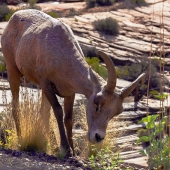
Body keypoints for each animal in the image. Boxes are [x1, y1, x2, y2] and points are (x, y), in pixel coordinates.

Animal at [0, 9, 145, 157]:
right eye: (96, 103)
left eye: (117, 112)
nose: (98, 137)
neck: (62, 54)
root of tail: (14, 17)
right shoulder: (46, 84)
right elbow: (58, 111)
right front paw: (65, 148)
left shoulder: (70, 93)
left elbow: (68, 118)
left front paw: (73, 151)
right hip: (12, 70)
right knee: (16, 106)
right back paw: (20, 140)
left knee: (43, 113)